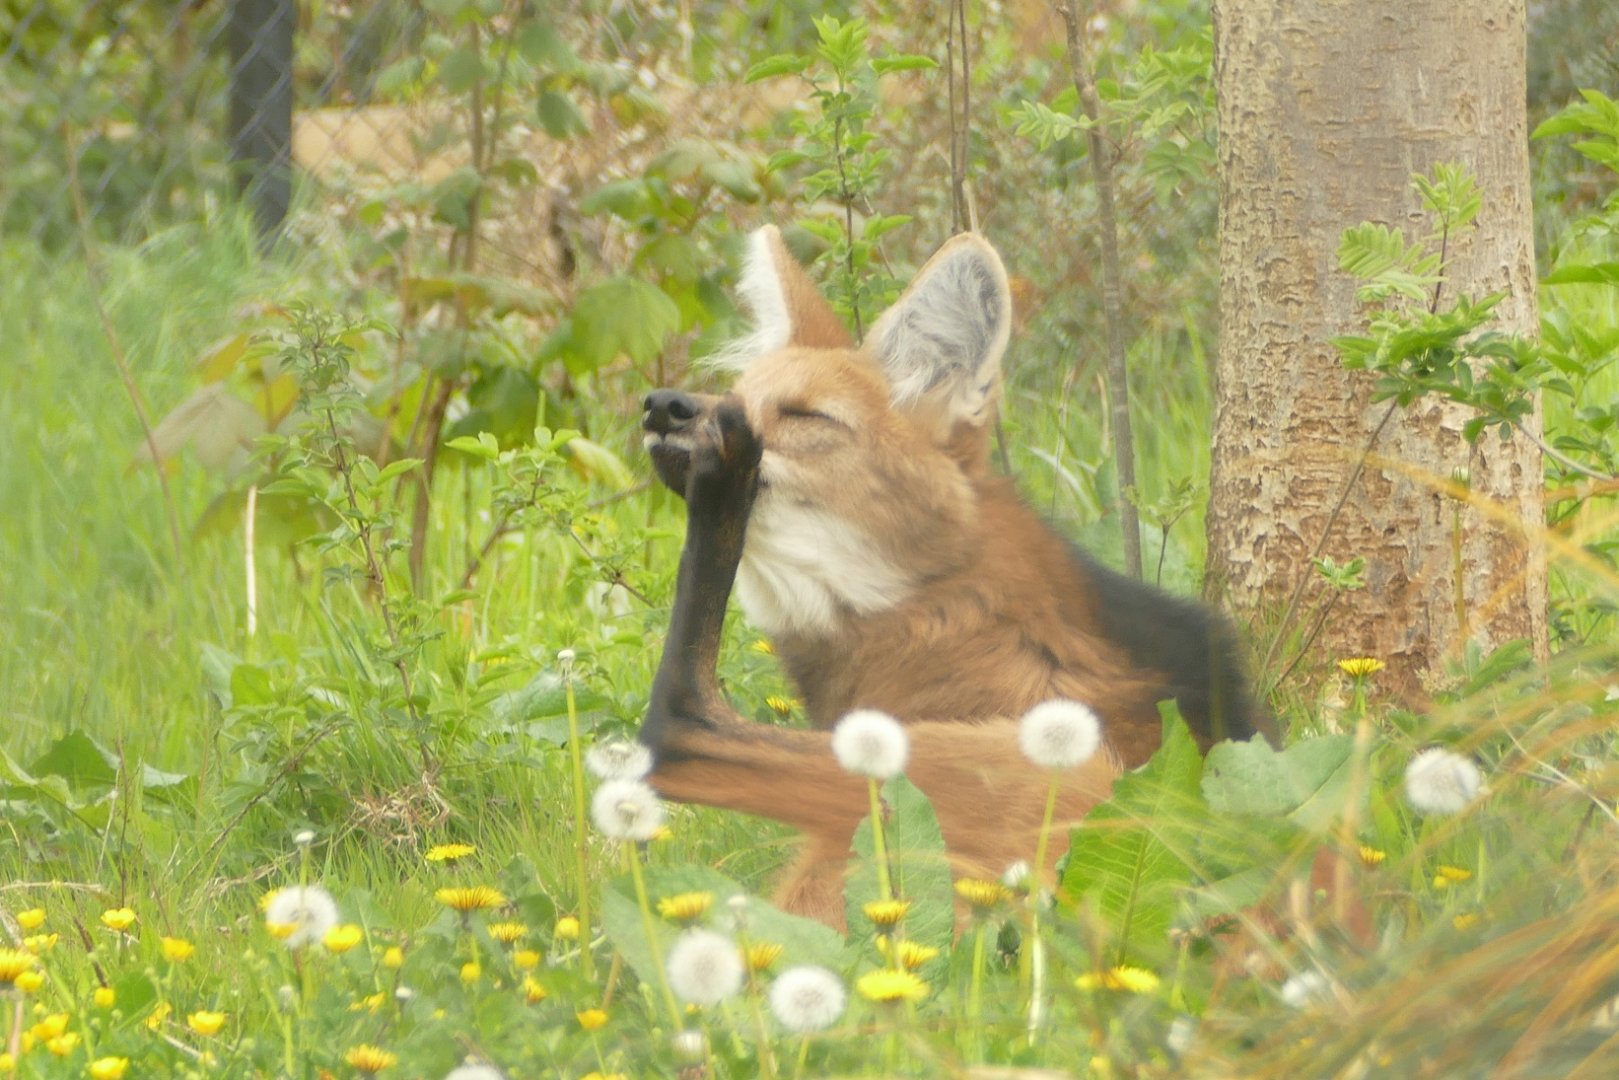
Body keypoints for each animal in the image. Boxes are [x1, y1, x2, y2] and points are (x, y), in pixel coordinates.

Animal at [638, 226, 1264, 924]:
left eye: (804, 416)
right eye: (737, 395)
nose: (665, 406)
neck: (941, 610)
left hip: (1031, 768)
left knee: (674, 726)